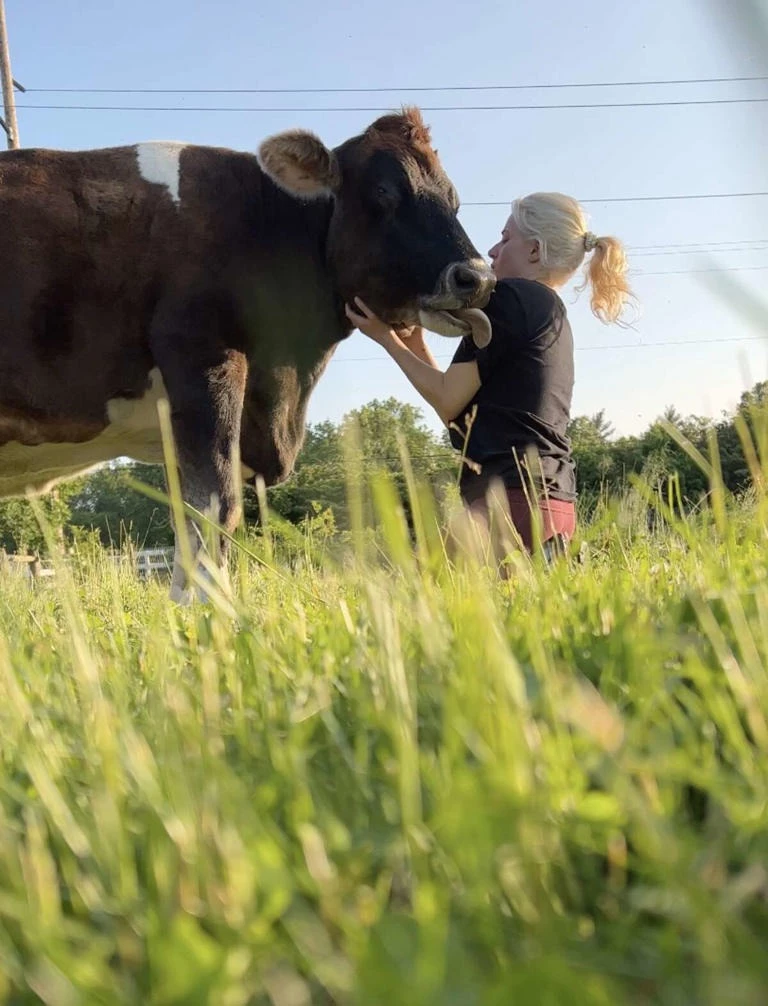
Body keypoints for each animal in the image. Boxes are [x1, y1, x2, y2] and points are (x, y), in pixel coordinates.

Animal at [0, 107, 493, 599]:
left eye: (453, 199)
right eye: (384, 192)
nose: (477, 278)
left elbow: (186, 518)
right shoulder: (204, 359)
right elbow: (214, 506)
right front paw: (208, 609)